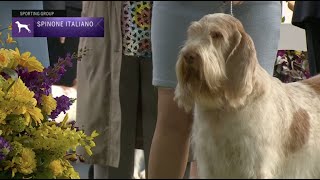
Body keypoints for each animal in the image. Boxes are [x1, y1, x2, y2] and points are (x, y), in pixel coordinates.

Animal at [175, 13, 320, 179]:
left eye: (217, 35)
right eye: (192, 33)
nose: (188, 55)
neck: (222, 109)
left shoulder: (254, 167)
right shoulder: (210, 165)